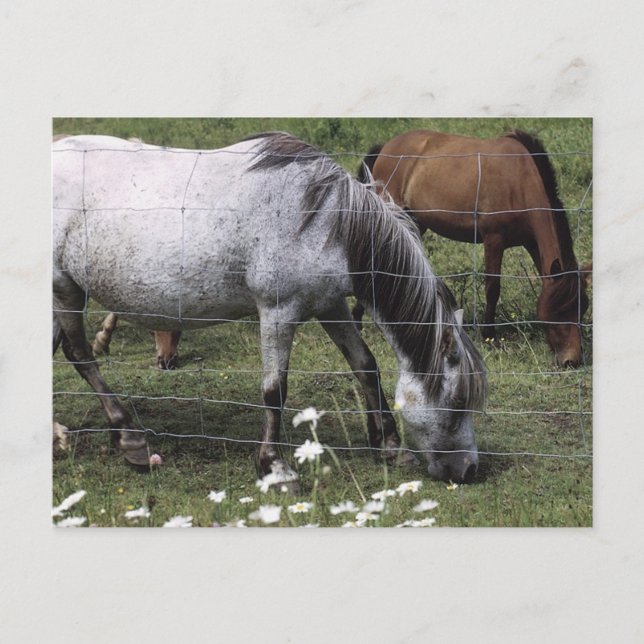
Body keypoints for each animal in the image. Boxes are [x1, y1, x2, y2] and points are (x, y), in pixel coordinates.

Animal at [53, 131, 487, 487]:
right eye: (458, 403)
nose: (468, 470)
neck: (326, 220)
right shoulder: (278, 312)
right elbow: (275, 390)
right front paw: (275, 467)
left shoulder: (330, 305)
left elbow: (365, 364)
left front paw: (390, 445)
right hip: (64, 290)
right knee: (79, 354)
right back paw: (129, 437)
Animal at [356, 129, 591, 368]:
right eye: (559, 310)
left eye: (583, 308)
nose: (572, 360)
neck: (518, 181)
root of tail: (387, 146)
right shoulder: (494, 240)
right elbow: (493, 288)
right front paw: (489, 336)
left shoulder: (532, 244)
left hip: (415, 221)